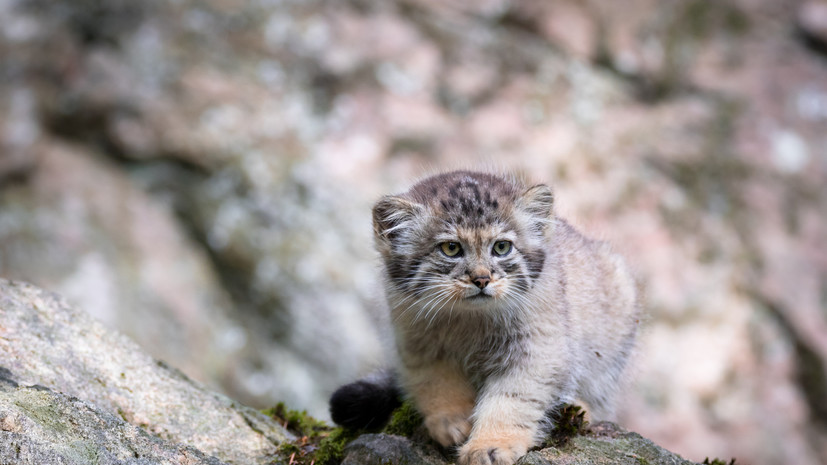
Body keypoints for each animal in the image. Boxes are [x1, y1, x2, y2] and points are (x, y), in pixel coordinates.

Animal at [330, 170, 640, 464]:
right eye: (451, 248)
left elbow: (511, 401)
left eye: (501, 247)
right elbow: (437, 385)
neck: (471, 323)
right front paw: (450, 421)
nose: (481, 279)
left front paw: (491, 445)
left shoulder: (536, 351)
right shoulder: (419, 346)